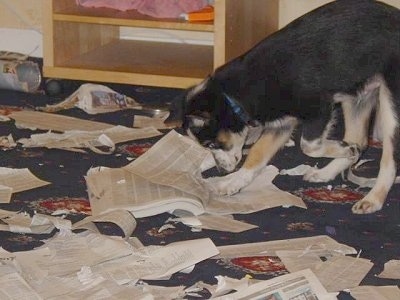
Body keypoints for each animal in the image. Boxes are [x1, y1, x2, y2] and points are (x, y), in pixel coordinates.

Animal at [183, 1, 400, 214]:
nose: (221, 171)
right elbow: (256, 154)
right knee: (360, 140)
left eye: (211, 144)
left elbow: (308, 146)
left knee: (388, 160)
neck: (237, 94)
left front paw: (342, 148)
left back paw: (373, 199)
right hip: (358, 95)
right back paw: (329, 169)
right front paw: (232, 182)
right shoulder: (281, 124)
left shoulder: (319, 109)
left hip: (390, 104)